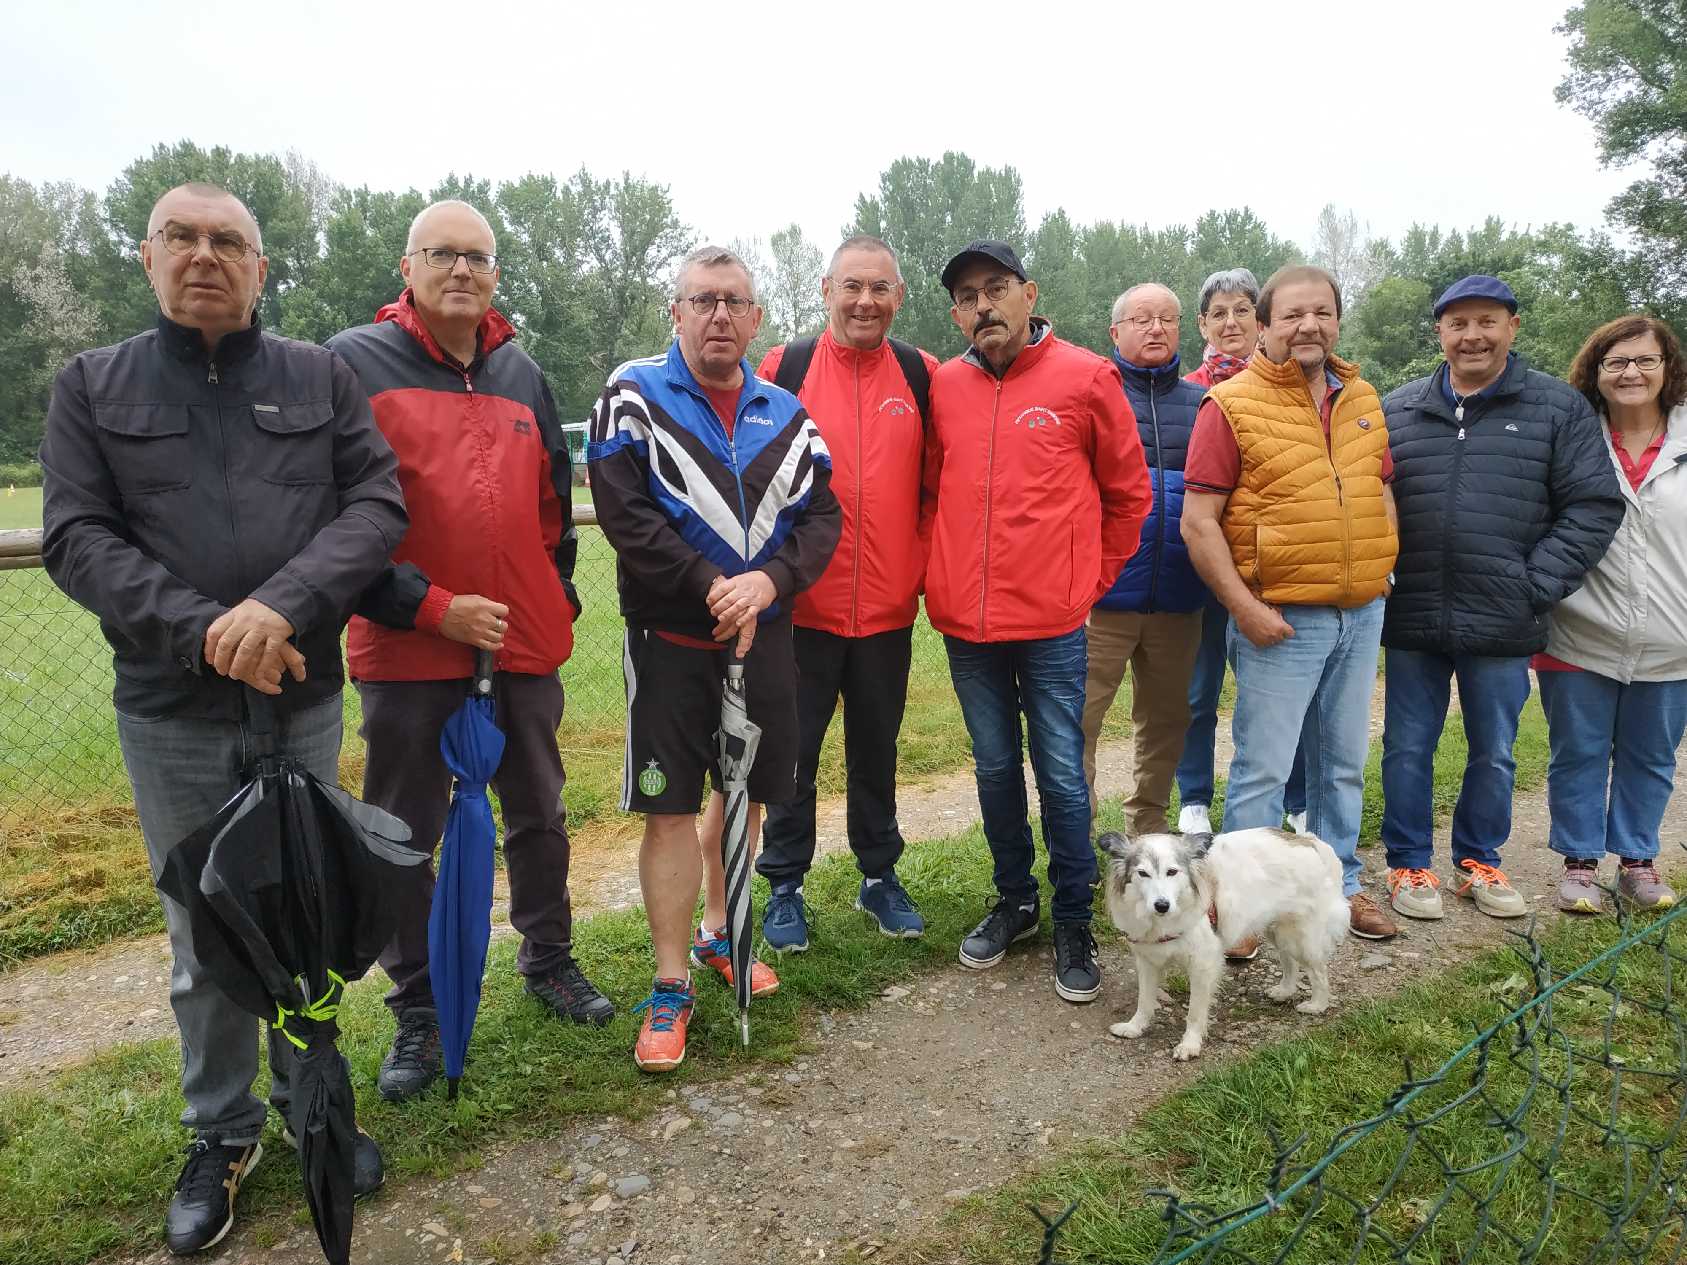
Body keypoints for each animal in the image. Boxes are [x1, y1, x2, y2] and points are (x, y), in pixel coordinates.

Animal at [1099, 826, 1349, 1065]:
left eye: (1172, 871)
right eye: (1142, 873)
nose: (1162, 905)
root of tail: (1310, 841)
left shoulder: (1203, 964)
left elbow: (1195, 1012)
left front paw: (1190, 1045)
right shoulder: (1147, 961)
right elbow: (1144, 1001)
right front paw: (1134, 1027)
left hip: (1299, 937)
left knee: (1319, 972)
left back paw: (1317, 1005)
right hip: (1278, 929)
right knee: (1290, 962)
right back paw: (1285, 990)